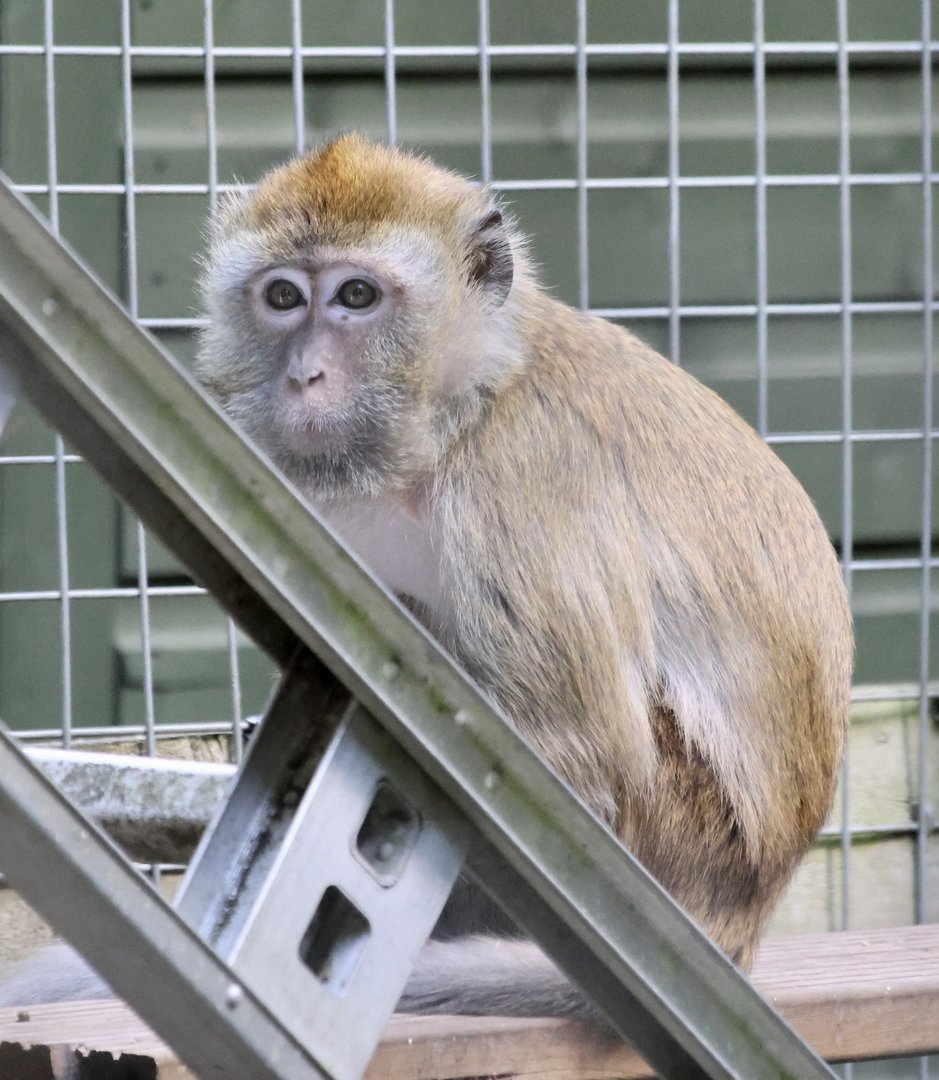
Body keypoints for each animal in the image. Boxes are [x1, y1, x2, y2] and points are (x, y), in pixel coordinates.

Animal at [0, 135, 852, 1023]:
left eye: (356, 296)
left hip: (676, 831)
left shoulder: (511, 481)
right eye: (281, 297)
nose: (305, 374)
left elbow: (578, 762)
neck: (467, 400)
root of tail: (738, 921)